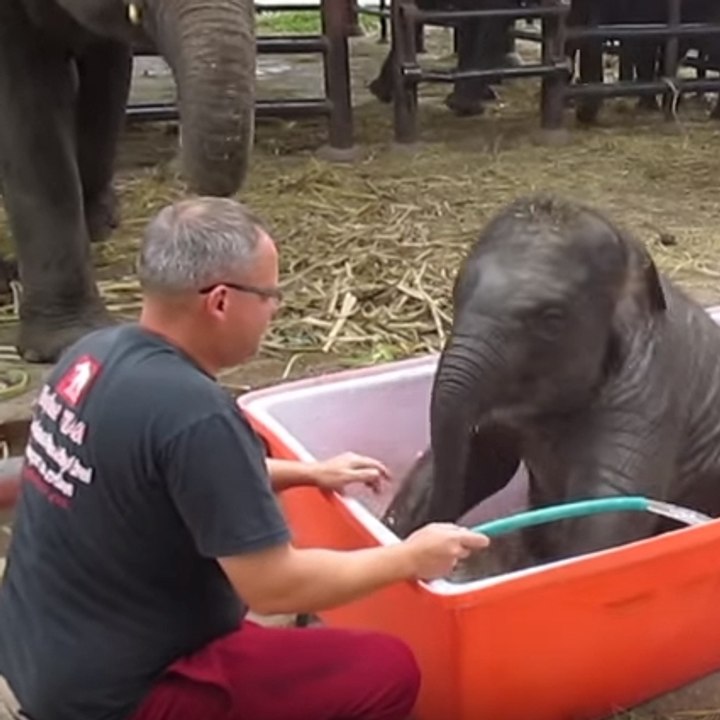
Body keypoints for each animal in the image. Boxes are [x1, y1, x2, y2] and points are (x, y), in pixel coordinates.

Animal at [382, 194, 720, 573]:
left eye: (552, 319)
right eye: (455, 290)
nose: (451, 555)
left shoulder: (649, 398)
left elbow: (608, 517)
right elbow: (484, 461)